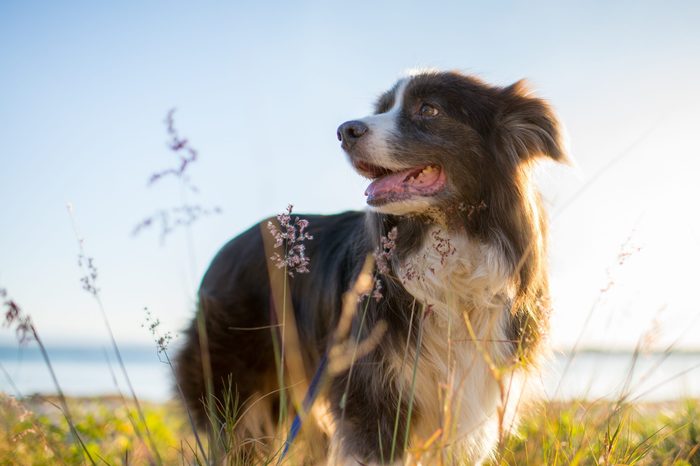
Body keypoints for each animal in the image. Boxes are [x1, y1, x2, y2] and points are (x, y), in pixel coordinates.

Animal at [176, 70, 568, 466]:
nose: (345, 131)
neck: (446, 242)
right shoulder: (371, 394)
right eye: (381, 109)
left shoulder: (473, 400)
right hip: (239, 384)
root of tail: (225, 252)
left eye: (429, 109)